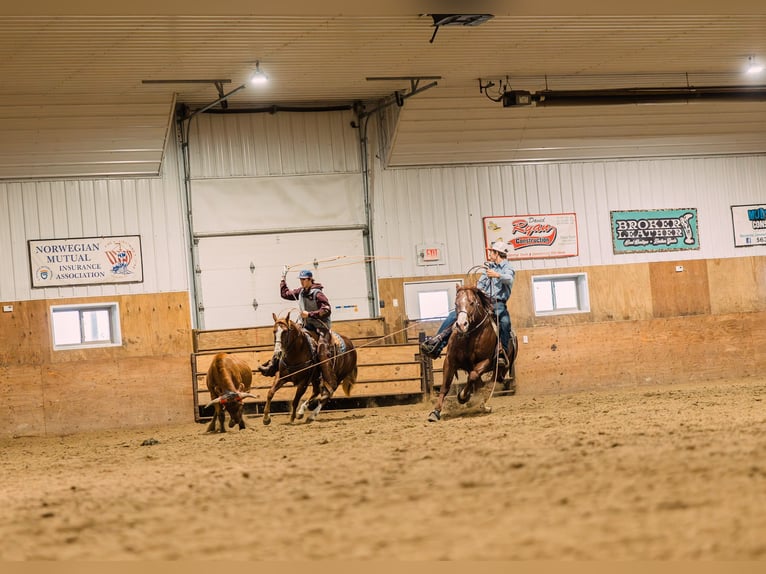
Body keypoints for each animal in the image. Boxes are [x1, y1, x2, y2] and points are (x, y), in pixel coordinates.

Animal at [428, 286, 520, 426]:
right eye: (456, 304)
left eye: (471, 303)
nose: (461, 325)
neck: (470, 336)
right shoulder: (450, 361)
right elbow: (445, 386)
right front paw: (435, 412)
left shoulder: (485, 361)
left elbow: (472, 377)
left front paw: (462, 397)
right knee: (480, 384)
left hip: (501, 370)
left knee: (489, 384)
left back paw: (482, 404)